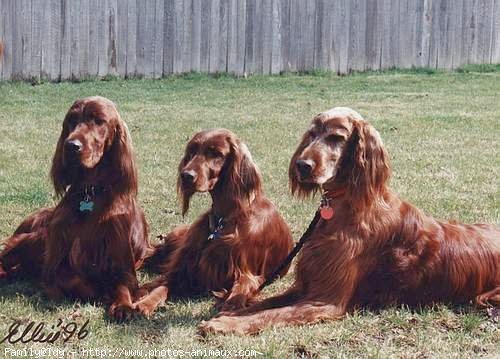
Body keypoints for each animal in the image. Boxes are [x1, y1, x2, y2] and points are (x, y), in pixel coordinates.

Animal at [0, 95, 150, 320]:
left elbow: (123, 284)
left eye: (99, 121)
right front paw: (98, 289)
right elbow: (69, 278)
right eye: (71, 120)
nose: (71, 146)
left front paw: (123, 305)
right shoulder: (56, 256)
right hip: (36, 237)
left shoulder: (123, 263)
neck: (91, 191)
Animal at [133, 129, 292, 318]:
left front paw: (229, 306)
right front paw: (145, 303)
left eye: (216, 153)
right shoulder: (187, 270)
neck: (224, 219)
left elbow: (241, 289)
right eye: (192, 151)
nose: (186, 175)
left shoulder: (248, 272)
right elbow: (162, 287)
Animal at [200, 108, 500, 336]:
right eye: (312, 134)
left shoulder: (325, 301)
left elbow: (271, 315)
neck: (347, 205)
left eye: (336, 137)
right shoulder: (304, 285)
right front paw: (231, 312)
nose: (302, 165)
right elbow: (263, 304)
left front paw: (225, 324)